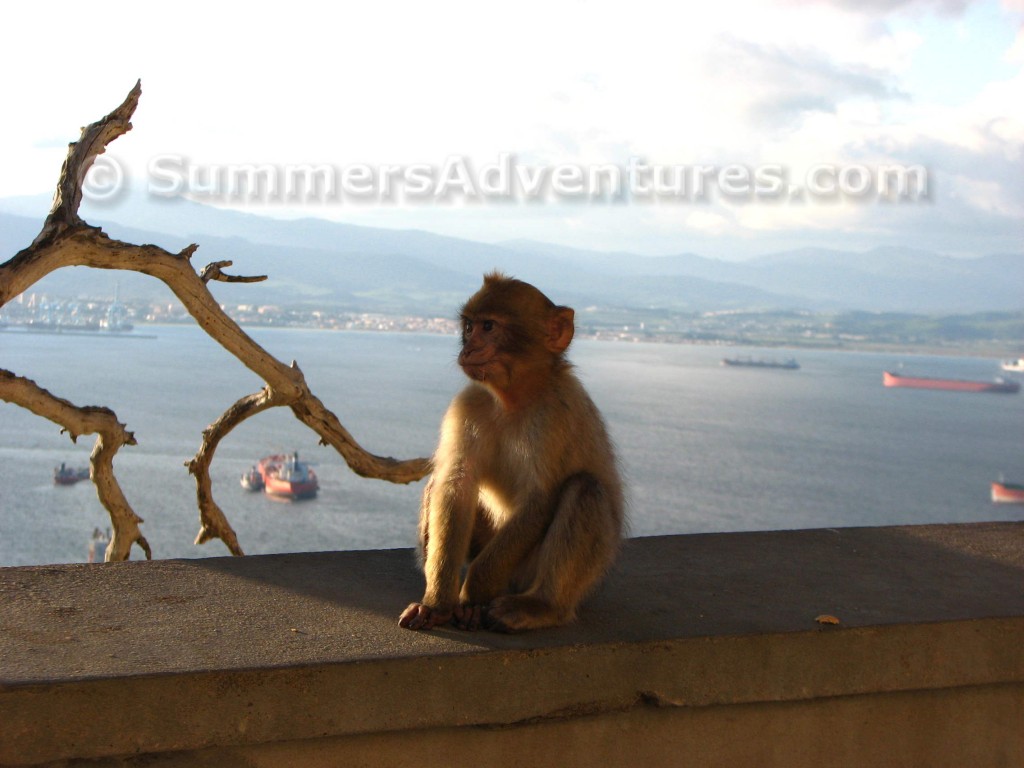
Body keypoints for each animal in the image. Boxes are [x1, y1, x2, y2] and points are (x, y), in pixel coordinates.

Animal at [399, 274, 622, 634]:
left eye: (489, 326)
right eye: (469, 326)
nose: (468, 348)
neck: (514, 399)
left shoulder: (555, 413)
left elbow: (540, 498)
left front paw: (473, 598)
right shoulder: (469, 405)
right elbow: (456, 485)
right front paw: (438, 602)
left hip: (550, 570)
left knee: (585, 490)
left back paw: (542, 606)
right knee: (439, 485)